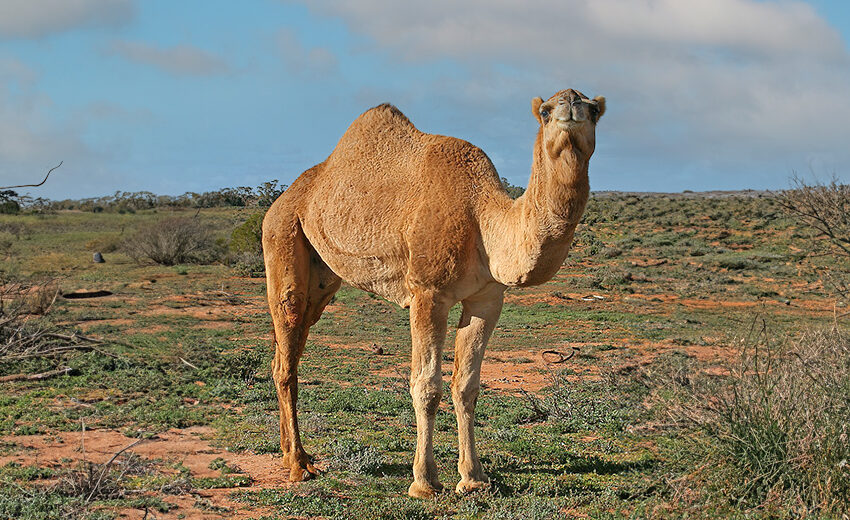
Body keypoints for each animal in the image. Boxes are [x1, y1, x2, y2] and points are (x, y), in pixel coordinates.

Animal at [264, 89, 604, 500]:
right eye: (545, 111)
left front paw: (473, 478)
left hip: (322, 277)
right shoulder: (428, 293)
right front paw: (424, 482)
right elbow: (426, 386)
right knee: (287, 347)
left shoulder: (487, 299)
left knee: (288, 351)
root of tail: (282, 200)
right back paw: (299, 465)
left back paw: (290, 454)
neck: (482, 217)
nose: (571, 104)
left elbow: (467, 385)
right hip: (283, 236)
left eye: (594, 110)